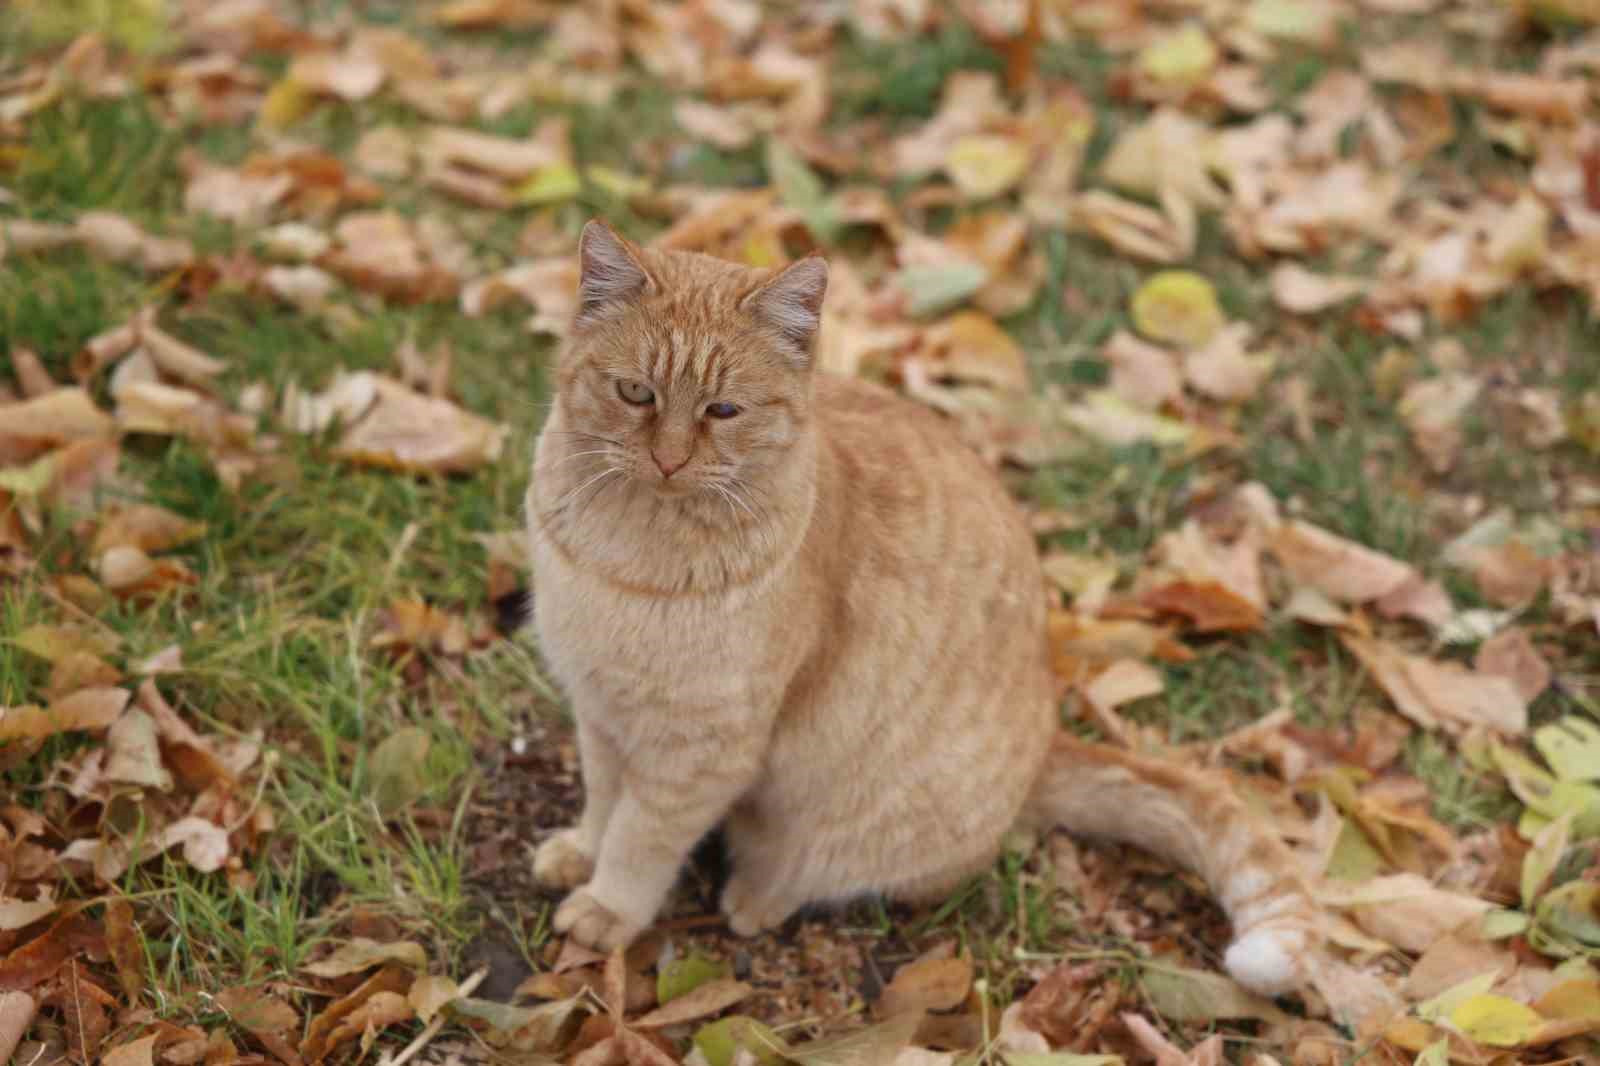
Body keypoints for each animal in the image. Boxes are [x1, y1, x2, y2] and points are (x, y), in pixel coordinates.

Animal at [531, 219, 1318, 992]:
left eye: (723, 410)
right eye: (636, 393)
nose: (668, 460)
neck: (629, 554)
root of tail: (1046, 742)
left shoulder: (701, 751)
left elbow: (642, 837)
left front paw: (607, 907)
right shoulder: (600, 711)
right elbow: (604, 801)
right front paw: (580, 853)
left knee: (841, 871)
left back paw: (757, 894)